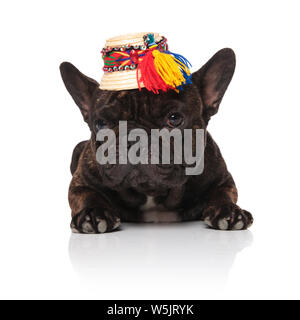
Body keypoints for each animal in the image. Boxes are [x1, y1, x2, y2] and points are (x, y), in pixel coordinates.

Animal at [60, 48, 253, 232]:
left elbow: (223, 194)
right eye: (101, 124)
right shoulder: (81, 181)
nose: (133, 139)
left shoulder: (222, 180)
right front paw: (93, 213)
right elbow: (87, 195)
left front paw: (229, 211)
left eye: (174, 118)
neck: (151, 193)